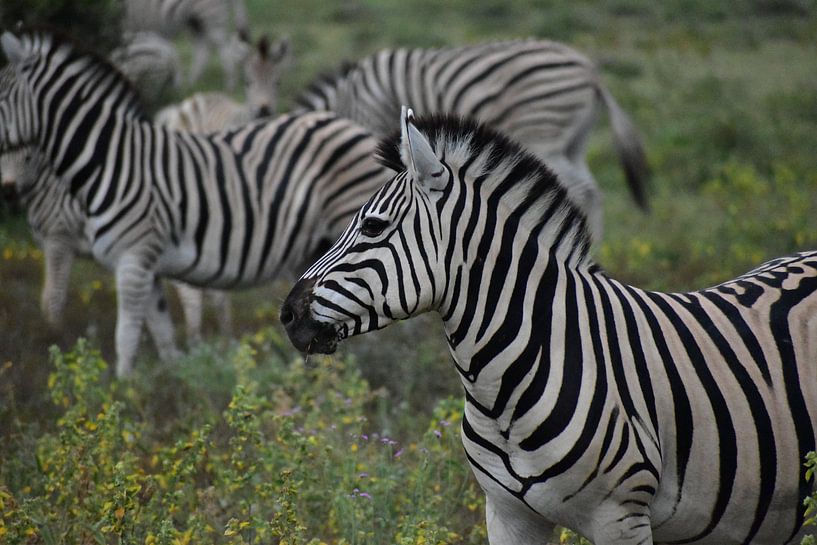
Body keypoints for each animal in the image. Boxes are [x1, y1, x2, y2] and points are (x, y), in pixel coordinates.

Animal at [0, 30, 391, 377]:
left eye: (0, 99)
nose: (9, 191)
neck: (112, 161)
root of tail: (354, 127)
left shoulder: (131, 258)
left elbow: (123, 335)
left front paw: (121, 393)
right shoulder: (148, 266)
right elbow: (162, 334)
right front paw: (167, 384)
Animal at [294, 39, 651, 244]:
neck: (348, 98)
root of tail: (593, 74)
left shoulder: (372, 121)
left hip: (543, 132)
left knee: (578, 188)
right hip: (573, 142)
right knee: (591, 189)